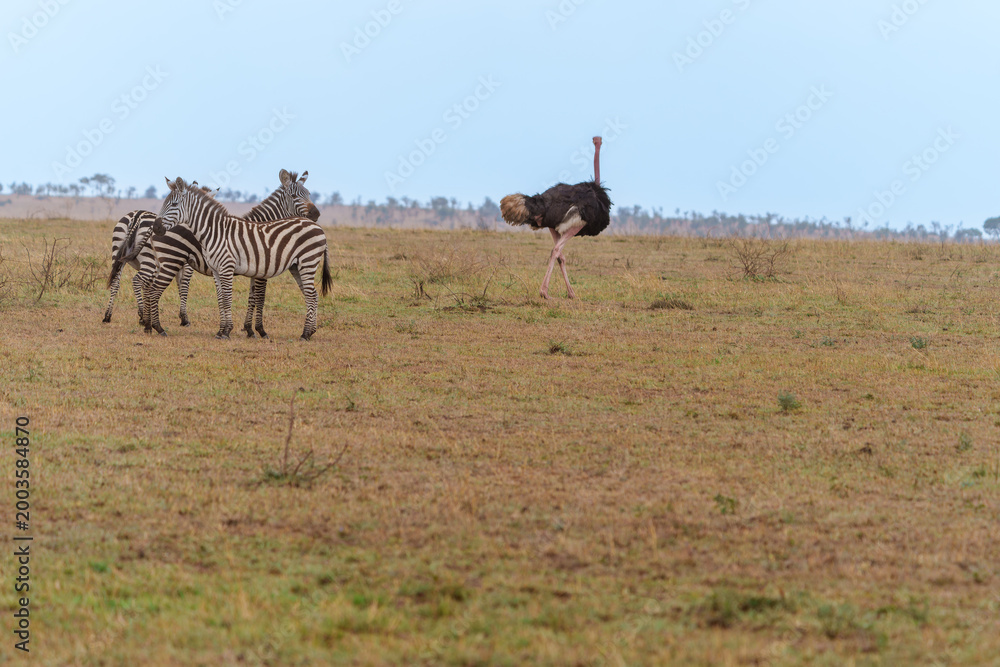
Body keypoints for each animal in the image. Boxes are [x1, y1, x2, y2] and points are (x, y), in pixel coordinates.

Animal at [107, 172, 319, 332]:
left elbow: (250, 297)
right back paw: (148, 321)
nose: (316, 214)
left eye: (308, 193)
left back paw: (120, 318)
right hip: (162, 260)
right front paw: (257, 329)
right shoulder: (260, 269)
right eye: (295, 196)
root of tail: (138, 216)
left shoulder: (254, 267)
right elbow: (258, 297)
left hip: (126, 256)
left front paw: (247, 328)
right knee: (143, 283)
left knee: (119, 283)